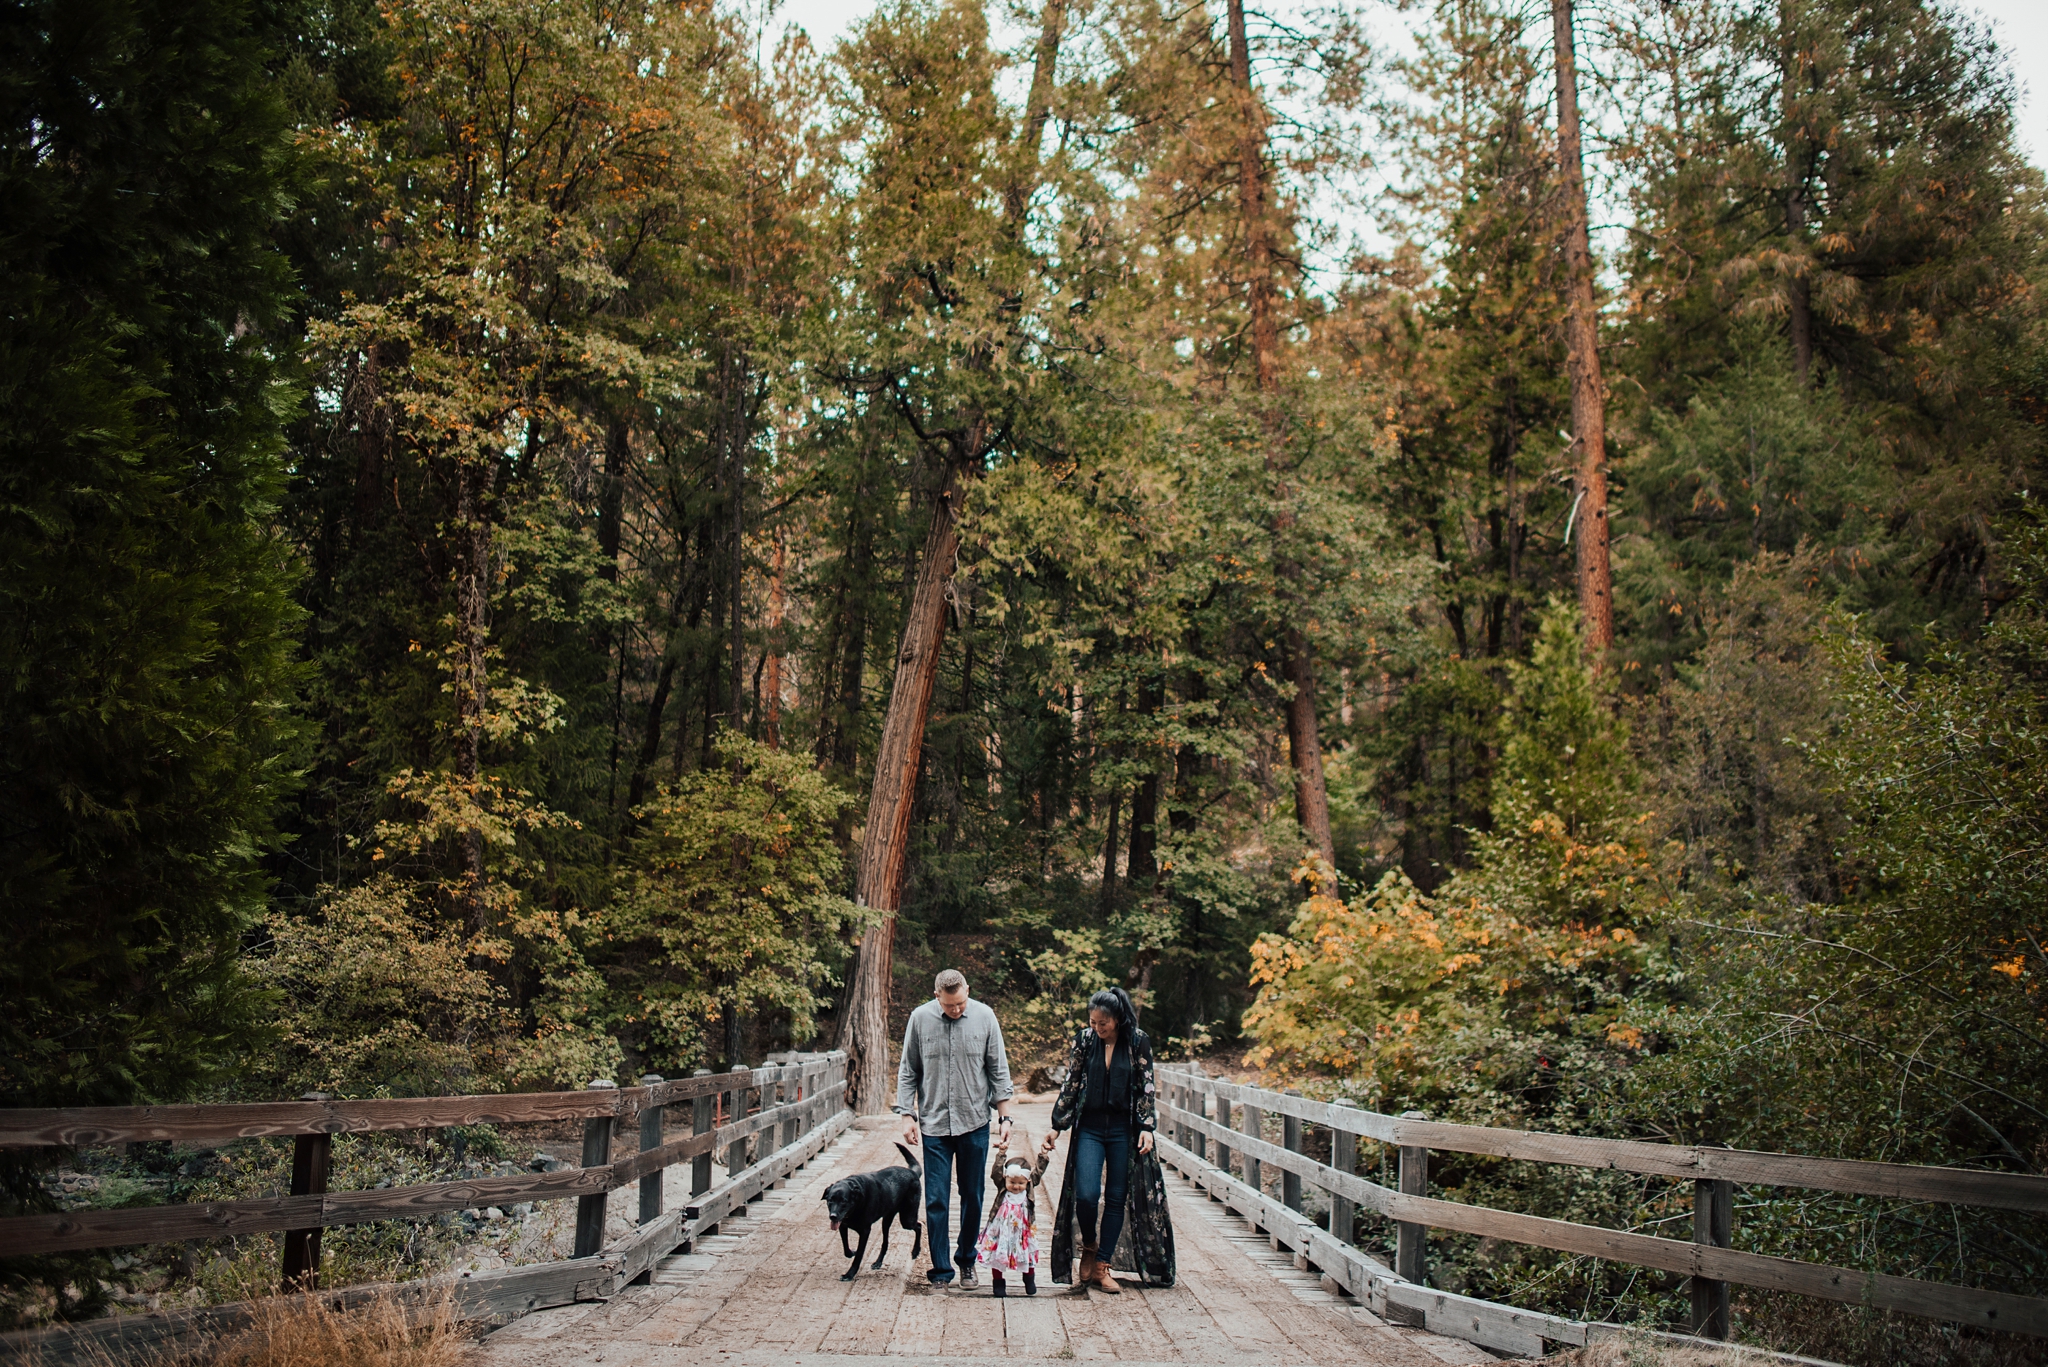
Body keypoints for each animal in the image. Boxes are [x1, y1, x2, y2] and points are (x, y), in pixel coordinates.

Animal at [823, 1147, 929, 1287]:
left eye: (844, 1201)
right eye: (830, 1200)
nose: (833, 1217)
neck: (858, 1202)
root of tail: (912, 1172)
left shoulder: (865, 1231)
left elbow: (859, 1255)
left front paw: (849, 1274)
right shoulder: (842, 1226)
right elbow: (846, 1249)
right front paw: (852, 1252)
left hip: (907, 1219)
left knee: (919, 1226)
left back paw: (915, 1251)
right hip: (887, 1220)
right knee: (885, 1242)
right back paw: (878, 1262)